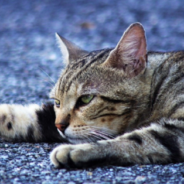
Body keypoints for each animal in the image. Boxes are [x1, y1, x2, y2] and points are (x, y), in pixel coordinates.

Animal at [0, 22, 184, 168]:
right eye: (57, 102)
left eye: (85, 99)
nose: (59, 126)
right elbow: (28, 118)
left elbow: (137, 139)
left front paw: (76, 151)